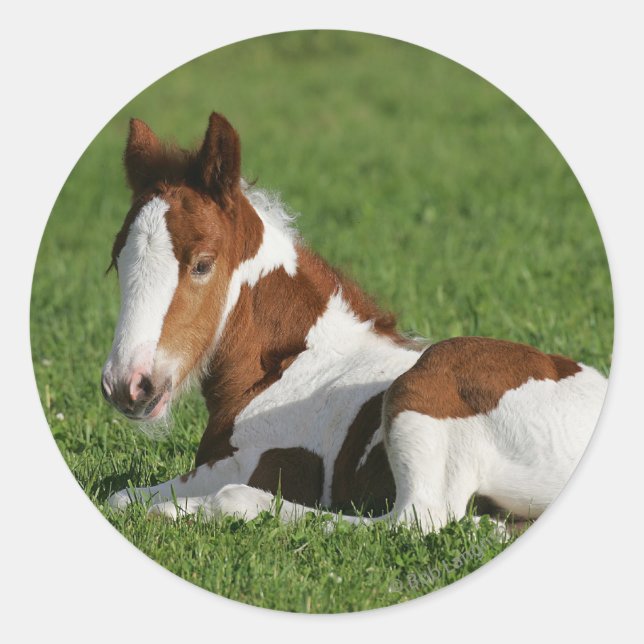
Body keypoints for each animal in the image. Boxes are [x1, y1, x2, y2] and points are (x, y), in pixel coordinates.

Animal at [103, 113, 608, 532]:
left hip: (427, 385)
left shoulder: (256, 463)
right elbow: (120, 498)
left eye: (203, 264)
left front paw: (183, 508)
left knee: (413, 520)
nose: (129, 385)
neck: (290, 365)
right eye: (115, 260)